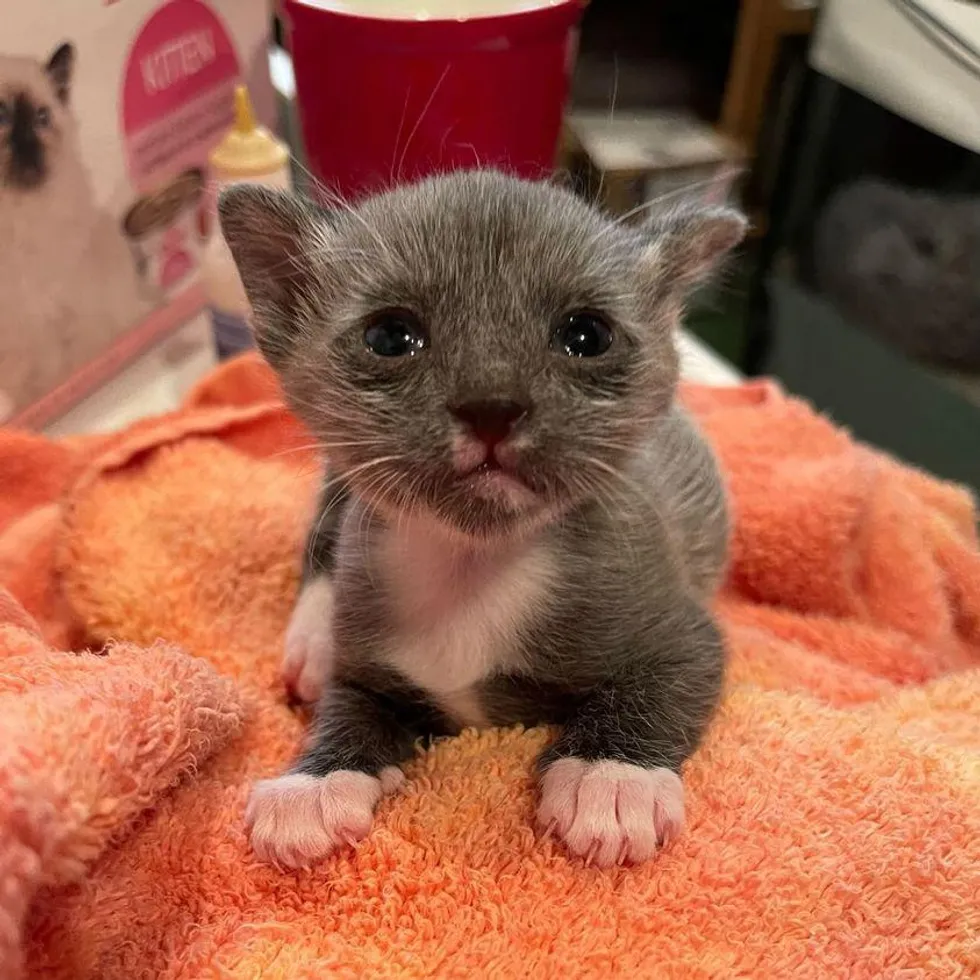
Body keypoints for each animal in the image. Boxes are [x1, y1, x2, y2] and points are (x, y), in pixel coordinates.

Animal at [220, 172, 744, 868]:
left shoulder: (686, 635)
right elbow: (348, 707)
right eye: (391, 336)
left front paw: (610, 781)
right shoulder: (367, 663)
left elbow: (655, 689)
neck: (470, 569)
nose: (492, 405)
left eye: (587, 335)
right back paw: (311, 639)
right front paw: (314, 785)